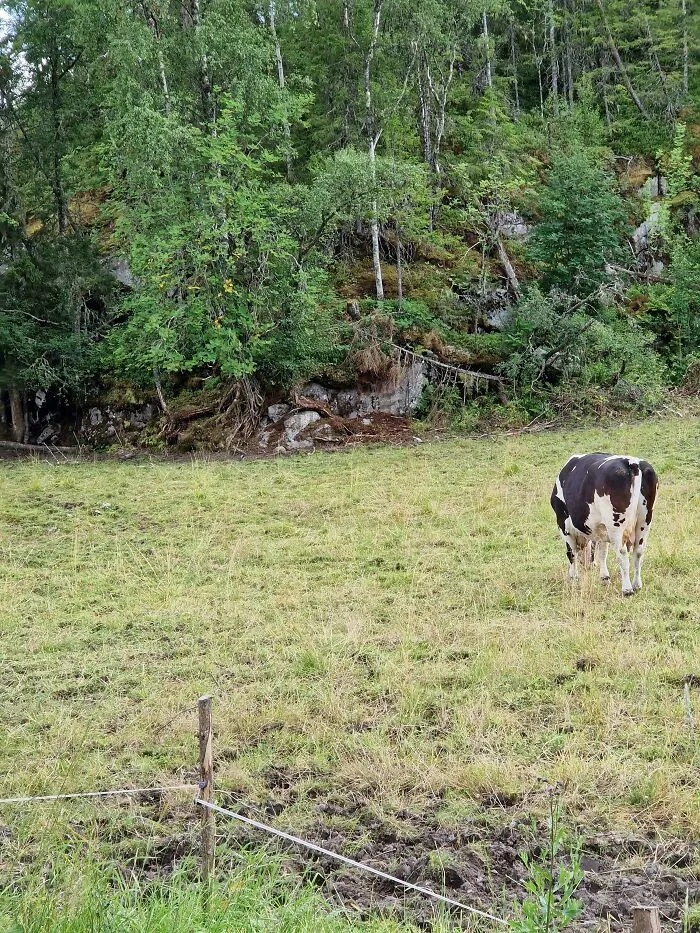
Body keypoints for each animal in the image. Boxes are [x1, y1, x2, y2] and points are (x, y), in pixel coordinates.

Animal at [551, 454, 658, 596]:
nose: (588, 565)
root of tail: (632, 462)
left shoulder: (563, 524)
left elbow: (571, 553)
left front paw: (573, 577)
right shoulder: (601, 528)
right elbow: (602, 552)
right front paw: (605, 578)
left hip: (616, 525)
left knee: (622, 554)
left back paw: (627, 589)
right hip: (644, 521)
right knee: (638, 553)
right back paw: (636, 585)